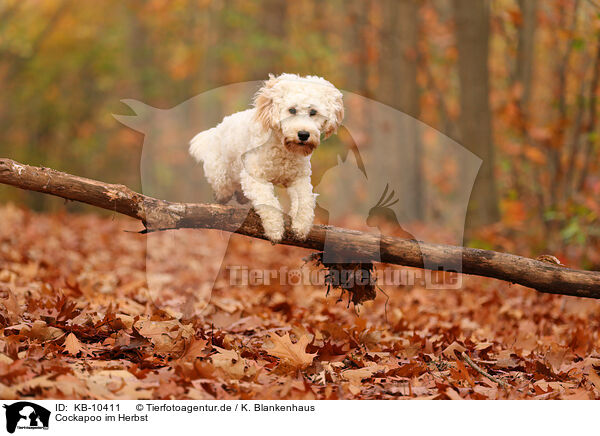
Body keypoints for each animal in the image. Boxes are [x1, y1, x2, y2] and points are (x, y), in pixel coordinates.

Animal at [190, 75, 344, 245]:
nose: (303, 134)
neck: (283, 149)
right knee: (223, 190)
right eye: (292, 110)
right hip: (221, 178)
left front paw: (301, 226)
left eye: (313, 112)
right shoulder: (254, 177)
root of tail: (216, 130)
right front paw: (275, 229)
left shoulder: (299, 179)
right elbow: (268, 202)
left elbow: (305, 201)